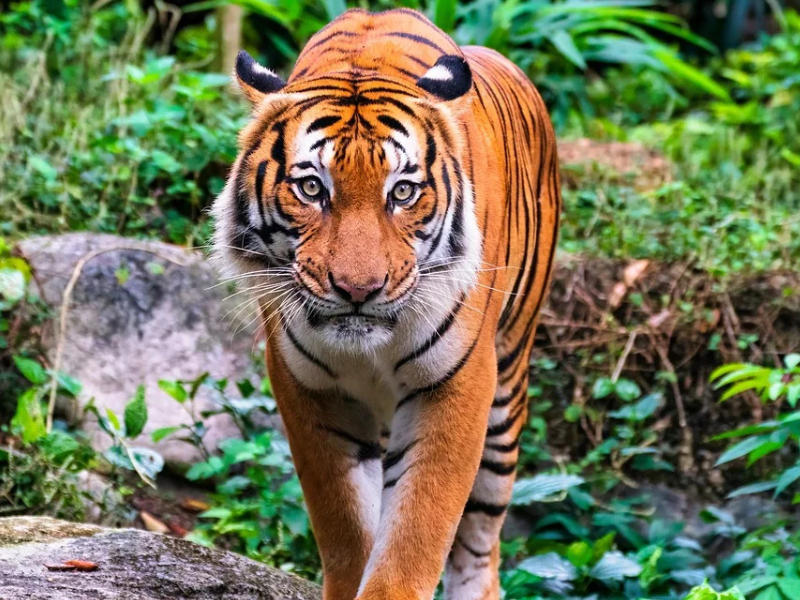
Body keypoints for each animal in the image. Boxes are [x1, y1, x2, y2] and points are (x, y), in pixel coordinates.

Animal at [212, 7, 560, 600]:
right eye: (311, 189)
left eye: (402, 192)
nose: (359, 289)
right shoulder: (309, 386)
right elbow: (346, 527)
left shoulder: (457, 384)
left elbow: (418, 529)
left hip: (507, 389)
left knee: (481, 541)